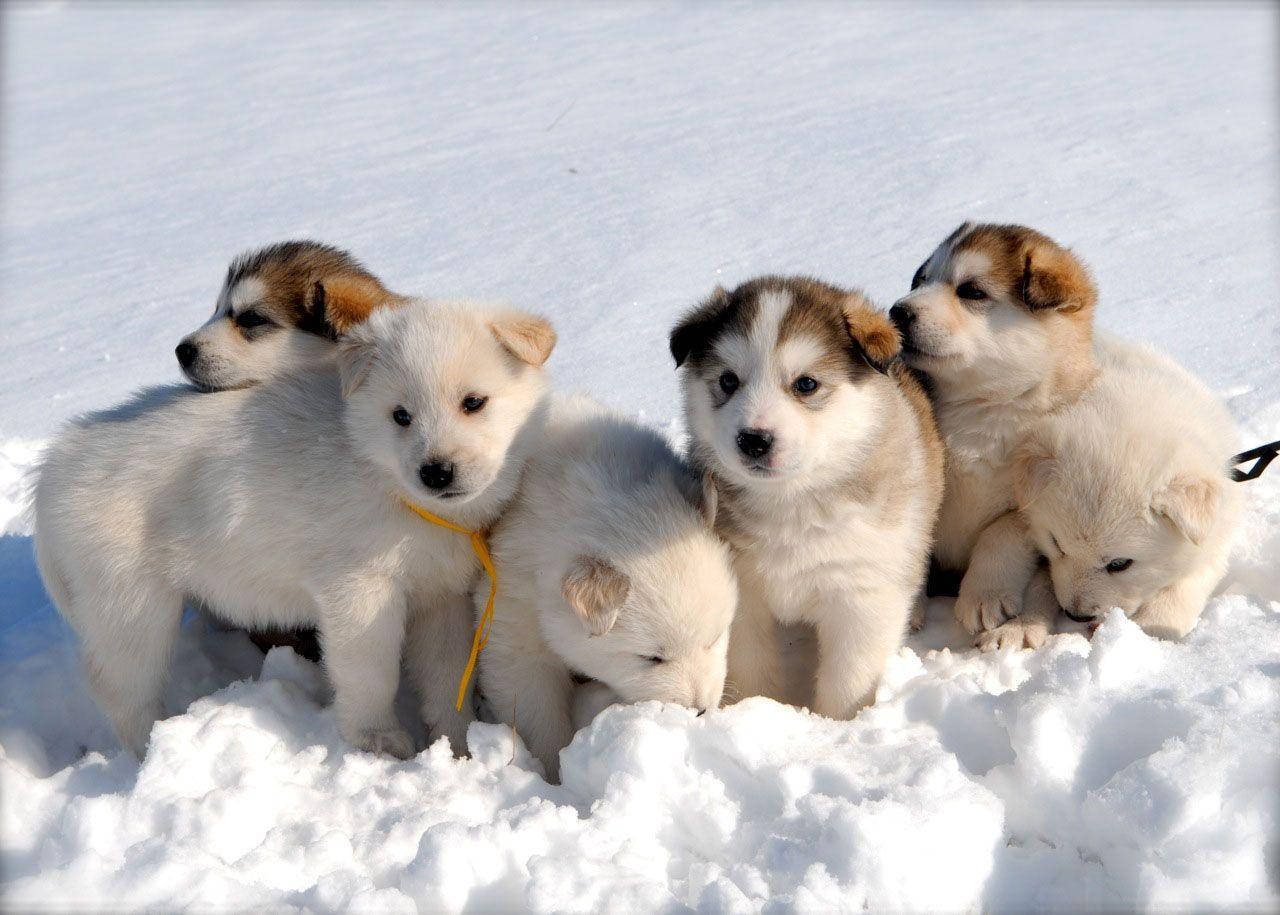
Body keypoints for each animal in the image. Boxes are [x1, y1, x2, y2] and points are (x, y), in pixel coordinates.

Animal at [33, 299, 555, 757]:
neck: (392, 486)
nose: (436, 472)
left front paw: (456, 745)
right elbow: (373, 672)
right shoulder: (360, 589)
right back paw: (148, 750)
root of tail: (54, 464)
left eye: (474, 402)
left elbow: (447, 676)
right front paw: (380, 741)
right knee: (122, 690)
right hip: (129, 604)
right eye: (401, 415)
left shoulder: (441, 596)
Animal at [478, 394, 742, 778]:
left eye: (714, 638)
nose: (699, 710)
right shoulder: (514, 602)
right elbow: (527, 691)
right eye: (652, 657)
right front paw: (553, 772)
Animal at [670, 275, 942, 721]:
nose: (753, 440)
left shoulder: (861, 594)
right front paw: (756, 710)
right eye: (728, 381)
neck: (792, 502)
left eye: (806, 384)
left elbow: (849, 680)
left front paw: (838, 724)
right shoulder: (744, 592)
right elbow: (751, 662)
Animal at [993, 340, 1244, 647]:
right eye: (1057, 544)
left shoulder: (1216, 536)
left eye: (1120, 564)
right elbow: (1042, 582)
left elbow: (1185, 584)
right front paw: (1019, 627)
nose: (1076, 615)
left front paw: (1147, 633)